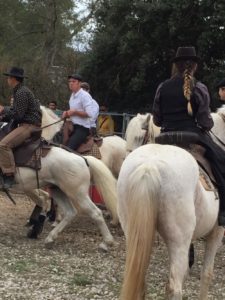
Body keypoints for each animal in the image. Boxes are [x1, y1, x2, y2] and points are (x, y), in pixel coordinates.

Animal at [119, 110, 225, 300]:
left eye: (139, 137)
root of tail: (149, 166)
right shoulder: (216, 232)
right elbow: (207, 273)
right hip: (178, 240)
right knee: (174, 287)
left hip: (132, 233)